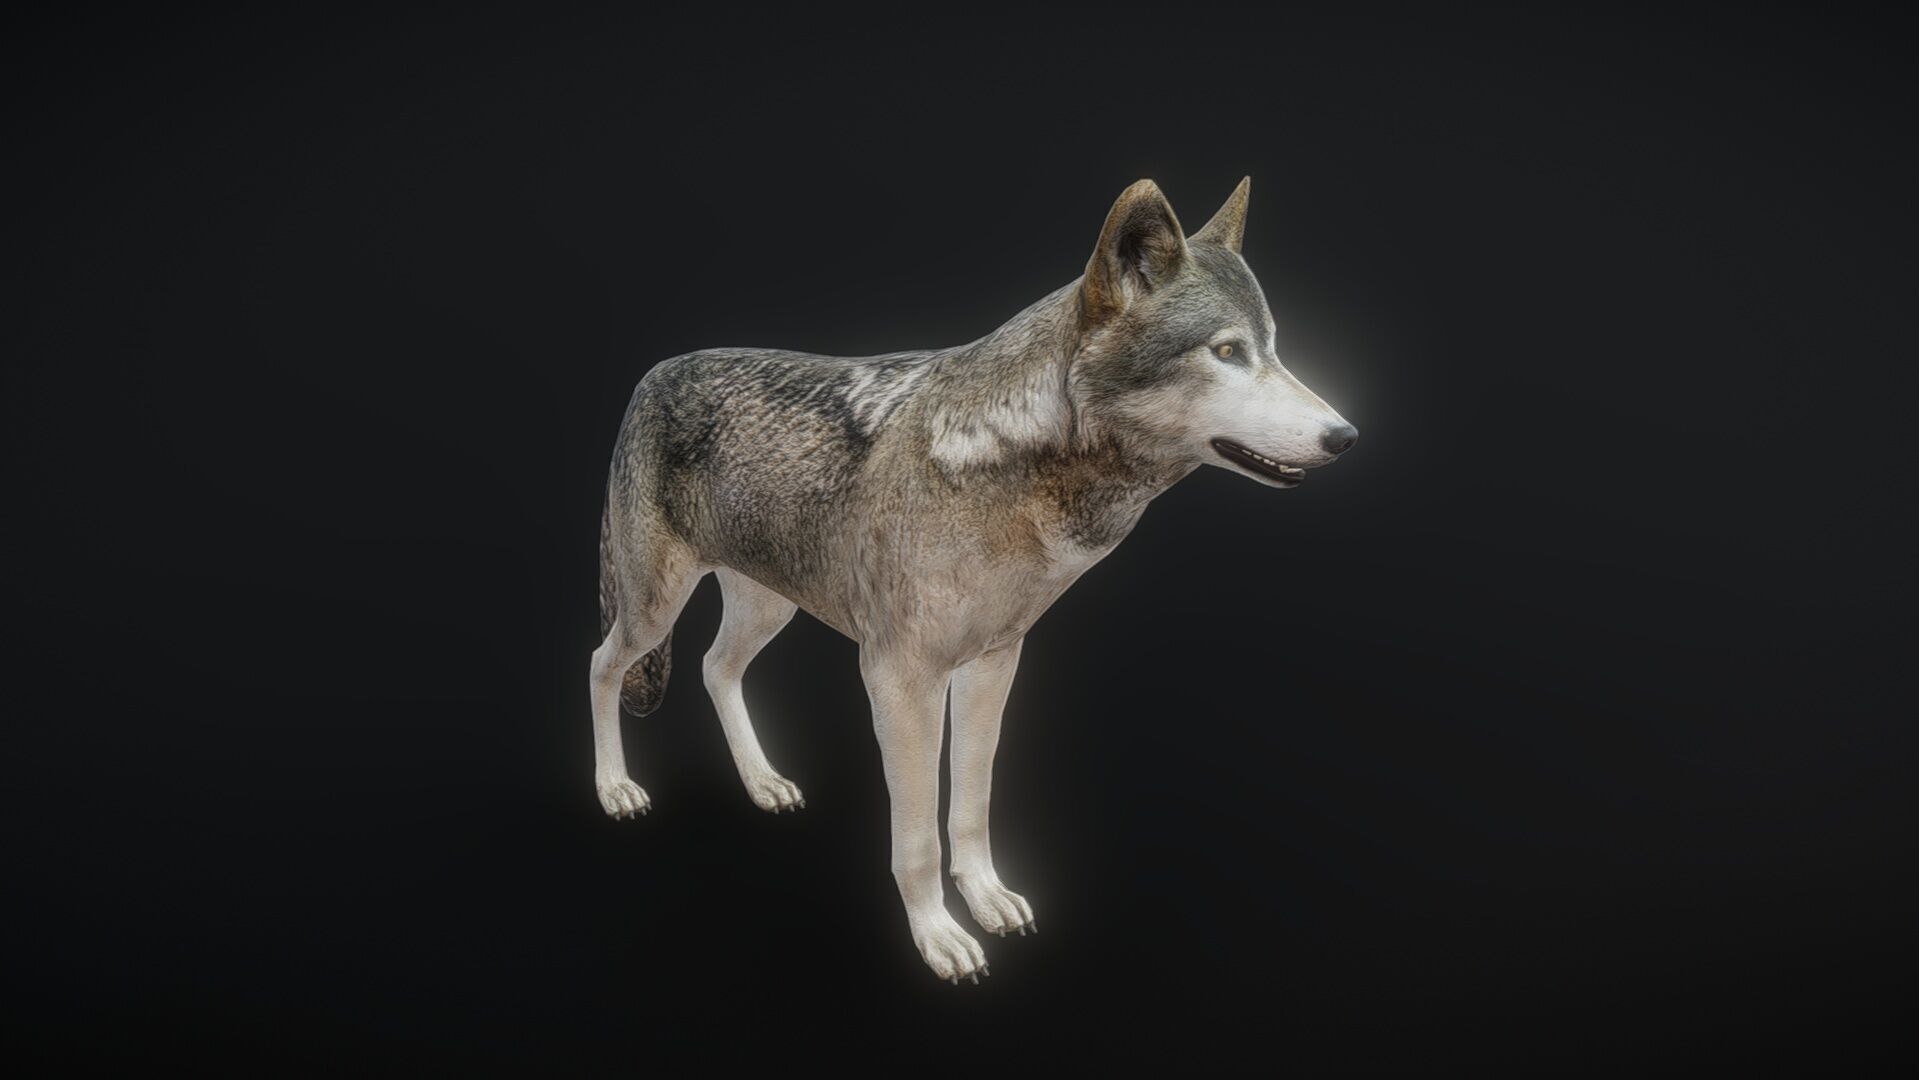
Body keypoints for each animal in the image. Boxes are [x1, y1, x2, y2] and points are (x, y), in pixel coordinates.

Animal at [591, 178, 1356, 982]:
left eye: (1273, 349)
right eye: (1228, 352)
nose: (1346, 436)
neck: (1008, 473)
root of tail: (654, 374)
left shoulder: (993, 665)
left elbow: (970, 804)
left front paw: (986, 898)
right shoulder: (900, 682)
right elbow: (918, 837)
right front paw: (939, 936)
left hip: (769, 609)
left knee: (715, 667)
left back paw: (762, 782)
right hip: (654, 606)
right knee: (602, 663)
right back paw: (615, 788)